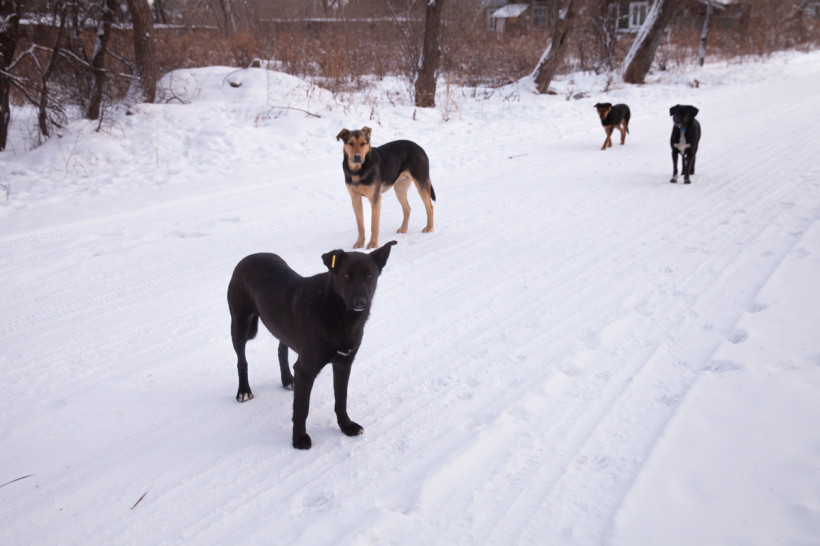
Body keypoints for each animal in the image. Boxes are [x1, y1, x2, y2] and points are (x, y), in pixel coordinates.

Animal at [227, 241, 397, 450]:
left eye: (369, 276)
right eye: (346, 275)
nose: (360, 302)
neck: (339, 313)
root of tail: (249, 257)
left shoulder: (343, 363)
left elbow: (341, 399)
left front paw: (346, 426)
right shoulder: (306, 369)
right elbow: (302, 408)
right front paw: (299, 439)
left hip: (281, 326)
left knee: (281, 350)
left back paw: (287, 379)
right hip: (240, 324)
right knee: (242, 361)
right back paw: (244, 391)